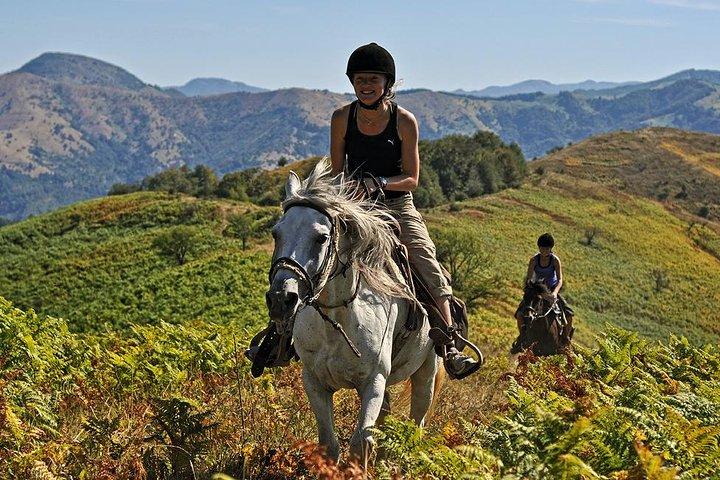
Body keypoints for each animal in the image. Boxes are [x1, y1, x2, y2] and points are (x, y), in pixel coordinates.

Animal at [268, 159, 442, 466]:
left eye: (322, 237)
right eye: (276, 233)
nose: (280, 298)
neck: (336, 319)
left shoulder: (373, 382)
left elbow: (361, 443)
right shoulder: (314, 382)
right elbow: (329, 445)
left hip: (426, 372)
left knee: (416, 425)